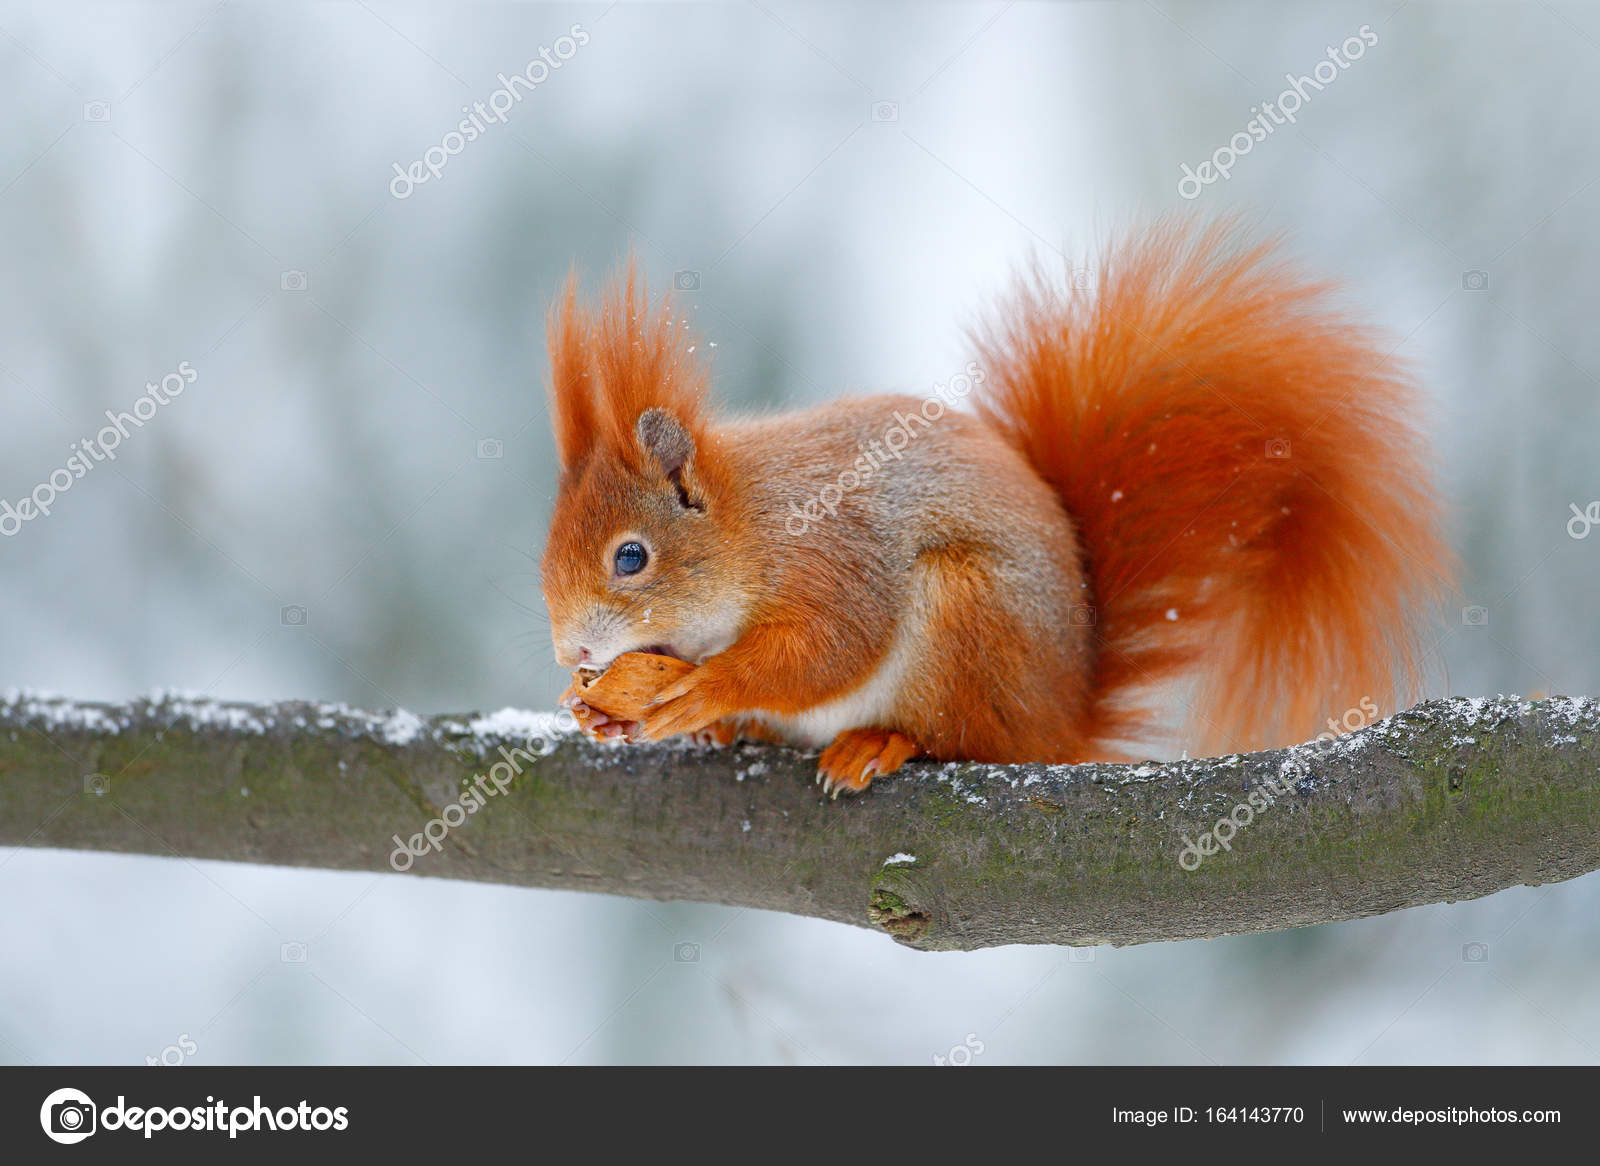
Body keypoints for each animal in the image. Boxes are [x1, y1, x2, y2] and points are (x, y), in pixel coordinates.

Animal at [540, 218, 1452, 796]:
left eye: (631, 556)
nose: (570, 652)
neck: (748, 524)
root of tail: (1062, 720)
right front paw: (595, 712)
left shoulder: (831, 555)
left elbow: (830, 649)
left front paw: (705, 693)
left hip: (966, 619)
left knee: (957, 739)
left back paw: (878, 742)